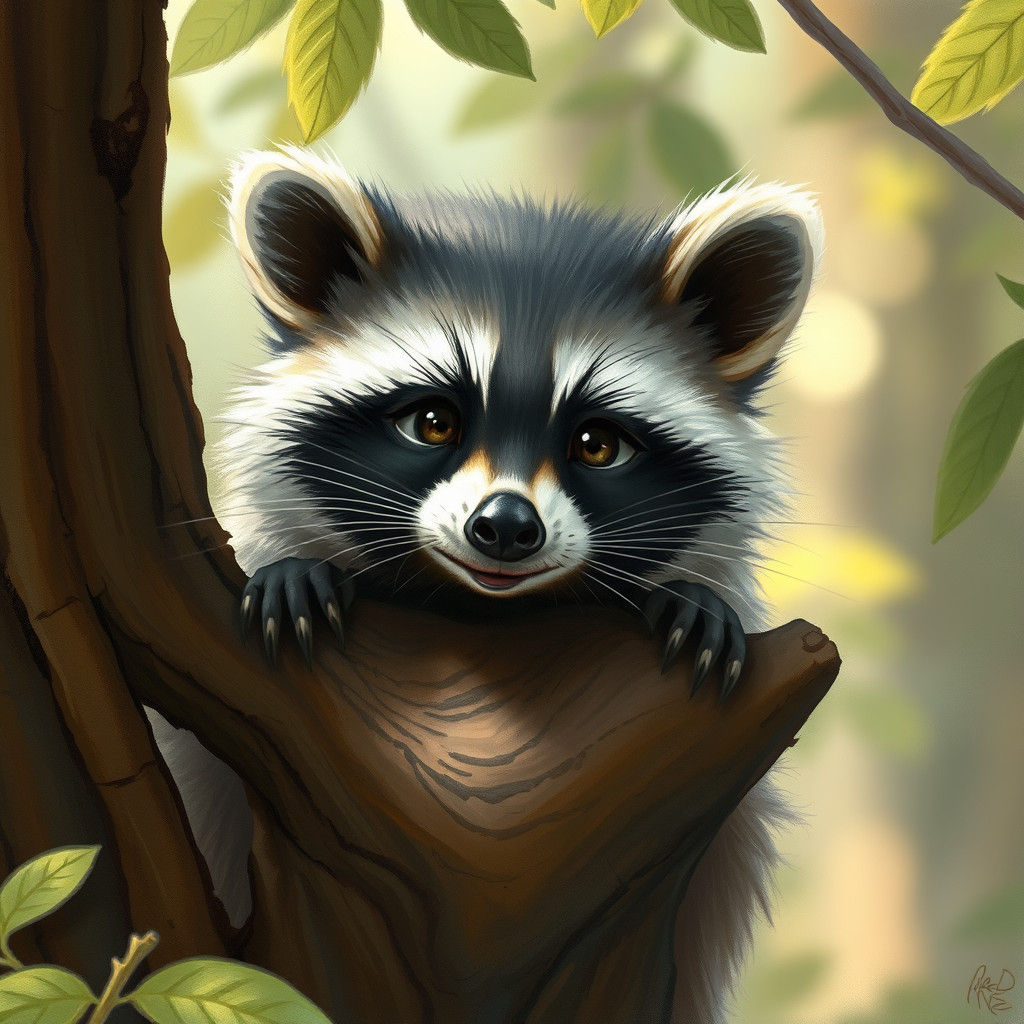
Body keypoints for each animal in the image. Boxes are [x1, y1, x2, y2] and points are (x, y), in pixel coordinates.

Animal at [156, 147, 822, 1024]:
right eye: (433, 421)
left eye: (597, 443)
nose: (505, 527)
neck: (483, 610)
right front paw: (297, 569)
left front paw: (690, 598)